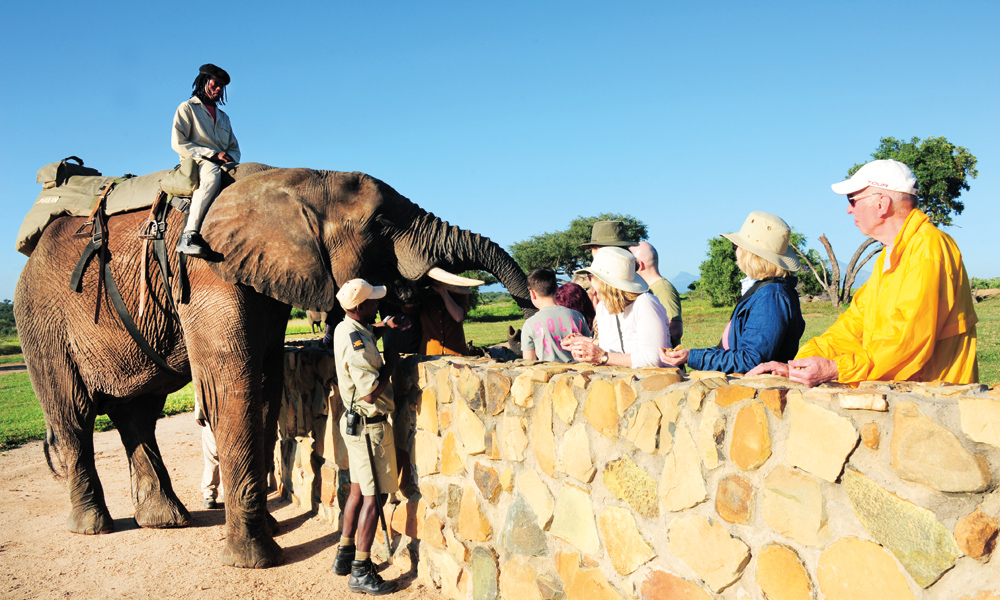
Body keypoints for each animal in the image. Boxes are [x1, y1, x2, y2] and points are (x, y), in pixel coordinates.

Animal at [15, 163, 532, 568]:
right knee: (74, 416)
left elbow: (266, 385)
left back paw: (167, 520)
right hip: (41, 323)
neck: (283, 179)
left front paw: (270, 530)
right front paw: (255, 560)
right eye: (381, 223)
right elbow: (232, 389)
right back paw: (93, 527)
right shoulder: (207, 274)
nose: (528, 309)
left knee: (138, 413)